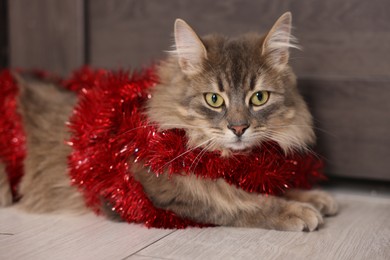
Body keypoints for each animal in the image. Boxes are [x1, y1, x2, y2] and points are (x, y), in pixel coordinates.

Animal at [0, 12, 336, 232]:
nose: (239, 128)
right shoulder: (164, 192)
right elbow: (241, 203)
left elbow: (271, 186)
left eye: (259, 98)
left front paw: (313, 196)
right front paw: (295, 211)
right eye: (214, 99)